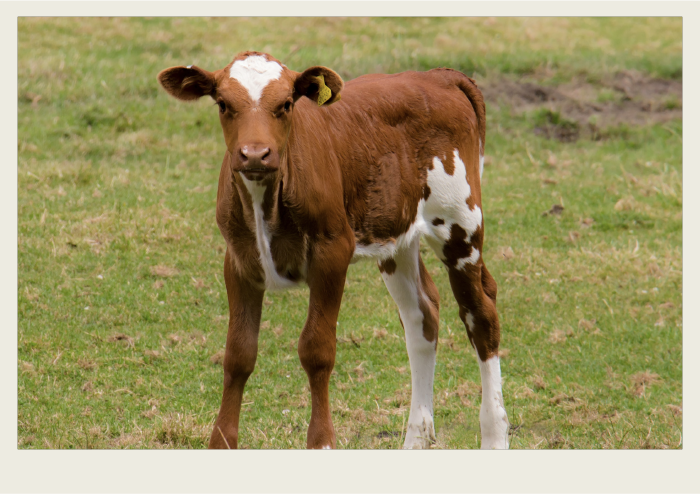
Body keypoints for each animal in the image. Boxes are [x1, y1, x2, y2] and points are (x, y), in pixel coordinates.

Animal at [157, 51, 509, 449]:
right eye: (222, 104)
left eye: (286, 104)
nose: (255, 154)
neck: (267, 200)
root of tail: (438, 76)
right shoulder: (238, 261)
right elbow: (238, 353)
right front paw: (222, 441)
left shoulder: (333, 253)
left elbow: (317, 349)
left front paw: (322, 441)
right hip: (396, 238)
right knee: (422, 316)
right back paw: (415, 439)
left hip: (459, 226)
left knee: (482, 316)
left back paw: (494, 436)